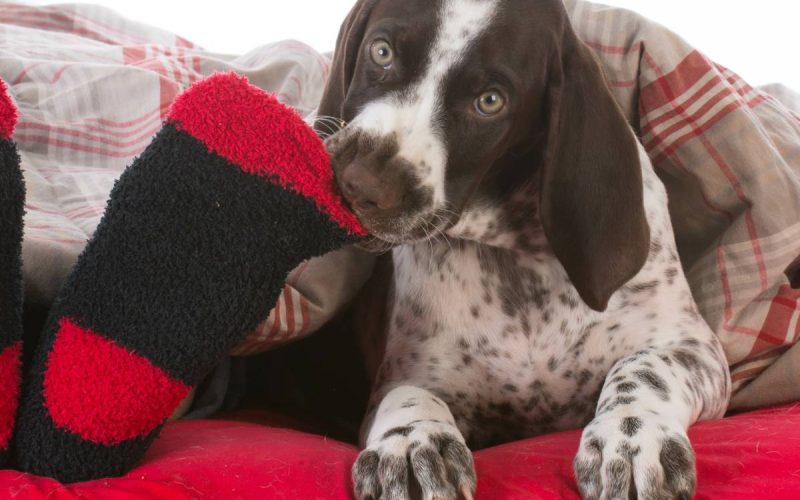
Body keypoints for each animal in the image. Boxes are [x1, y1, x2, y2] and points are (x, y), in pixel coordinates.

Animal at [314, 1, 732, 498]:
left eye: (490, 101)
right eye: (381, 51)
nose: (361, 186)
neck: (517, 257)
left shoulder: (692, 347)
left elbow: (643, 366)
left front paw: (632, 436)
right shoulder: (413, 372)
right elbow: (406, 394)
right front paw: (411, 441)